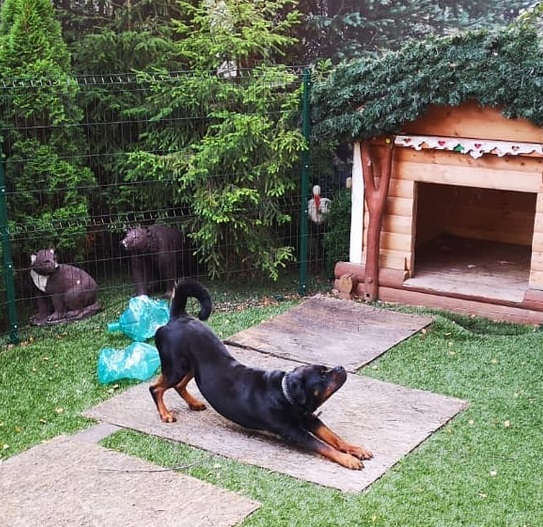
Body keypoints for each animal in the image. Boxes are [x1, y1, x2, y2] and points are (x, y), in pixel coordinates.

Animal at [150, 280, 374, 470]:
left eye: (325, 369)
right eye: (322, 376)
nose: (341, 368)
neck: (287, 396)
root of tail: (178, 316)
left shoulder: (309, 419)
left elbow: (334, 437)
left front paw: (355, 449)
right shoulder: (295, 432)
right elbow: (324, 446)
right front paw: (348, 459)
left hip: (191, 368)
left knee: (178, 385)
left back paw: (194, 403)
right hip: (176, 367)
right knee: (156, 388)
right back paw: (165, 414)